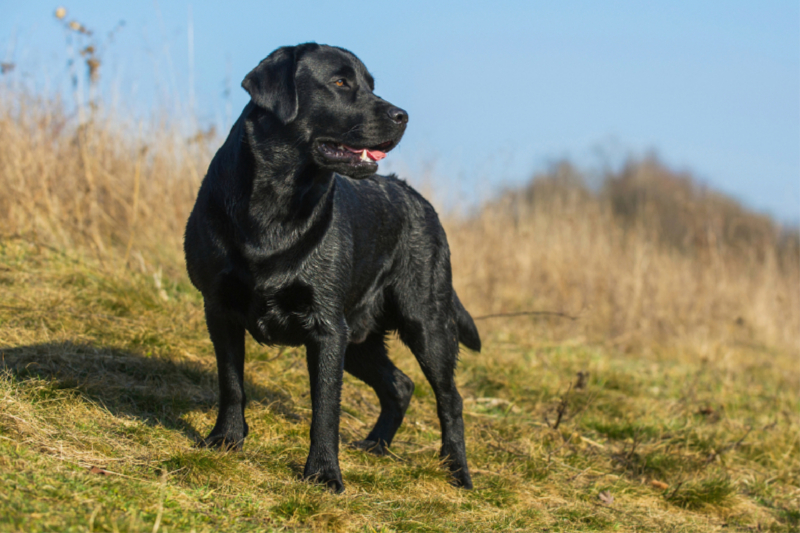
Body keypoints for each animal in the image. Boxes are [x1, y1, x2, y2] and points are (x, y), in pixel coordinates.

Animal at [184, 42, 478, 490]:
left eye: (371, 84)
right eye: (340, 82)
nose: (403, 115)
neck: (275, 204)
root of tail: (418, 198)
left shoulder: (325, 327)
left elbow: (326, 408)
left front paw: (323, 473)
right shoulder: (219, 309)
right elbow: (231, 383)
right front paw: (226, 439)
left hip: (425, 323)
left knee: (451, 399)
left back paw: (457, 471)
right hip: (357, 337)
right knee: (400, 384)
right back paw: (376, 445)